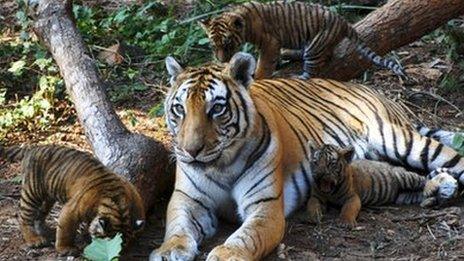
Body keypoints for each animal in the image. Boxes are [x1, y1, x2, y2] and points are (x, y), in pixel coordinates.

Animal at [0, 143, 145, 255]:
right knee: (24, 216)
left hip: (48, 196)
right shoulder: (72, 210)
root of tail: (33, 147)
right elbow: (66, 230)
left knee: (39, 214)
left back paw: (45, 231)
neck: (117, 202)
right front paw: (65, 249)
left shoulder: (132, 192)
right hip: (32, 191)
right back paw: (34, 240)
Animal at [150, 51, 464, 258]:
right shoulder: (187, 199)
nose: (190, 151)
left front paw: (225, 253)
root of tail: (374, 90)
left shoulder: (266, 207)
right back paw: (440, 187)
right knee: (404, 177)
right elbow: (177, 226)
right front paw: (169, 250)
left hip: (400, 140)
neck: (220, 165)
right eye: (179, 109)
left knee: (451, 159)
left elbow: (245, 237)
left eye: (216, 108)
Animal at [200, 0, 406, 79]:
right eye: (213, 46)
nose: (222, 59)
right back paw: (287, 54)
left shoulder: (270, 43)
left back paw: (299, 75)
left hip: (314, 46)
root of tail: (343, 22)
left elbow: (264, 63)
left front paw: (258, 76)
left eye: (227, 43)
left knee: (314, 69)